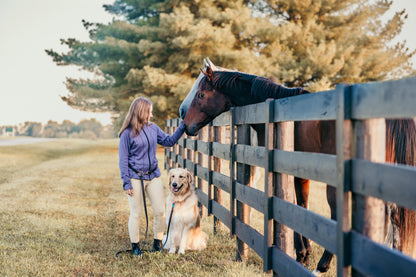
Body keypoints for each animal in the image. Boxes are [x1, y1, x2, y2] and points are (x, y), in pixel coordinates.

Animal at [180, 58, 416, 272]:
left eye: (201, 95)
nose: (184, 118)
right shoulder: (301, 174)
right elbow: (301, 205)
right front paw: (304, 253)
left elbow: (290, 204)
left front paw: (300, 253)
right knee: (395, 220)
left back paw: (322, 266)